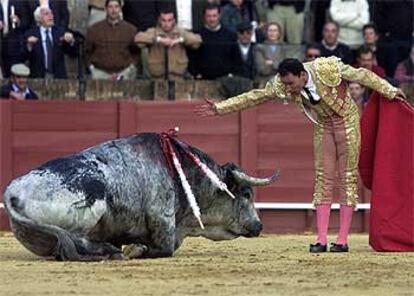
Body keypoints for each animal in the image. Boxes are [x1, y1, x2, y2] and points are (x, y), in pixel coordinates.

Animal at [4, 133, 278, 260]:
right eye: (246, 193)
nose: (259, 225)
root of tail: (13, 191)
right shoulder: (163, 218)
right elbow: (165, 248)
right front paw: (136, 248)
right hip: (91, 205)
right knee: (79, 241)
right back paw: (112, 250)